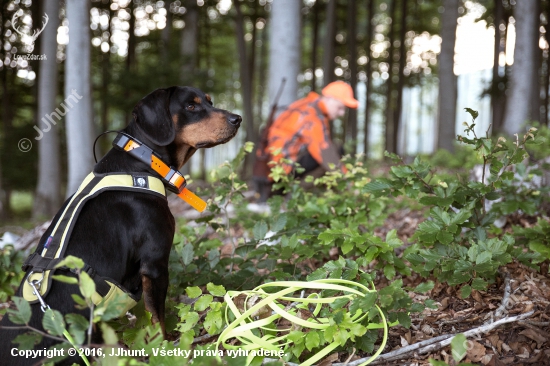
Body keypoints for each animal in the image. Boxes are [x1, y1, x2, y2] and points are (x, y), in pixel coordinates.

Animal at [0, 87, 242, 364]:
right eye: (191, 106)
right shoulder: (155, 265)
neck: (142, 163)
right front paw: (164, 349)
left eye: (210, 101)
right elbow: (157, 319)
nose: (237, 119)